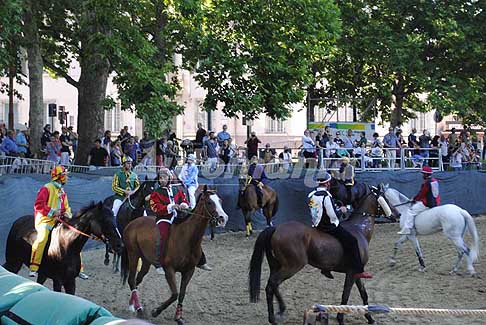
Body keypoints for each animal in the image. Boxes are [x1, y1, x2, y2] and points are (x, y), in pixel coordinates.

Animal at [120, 186, 229, 322]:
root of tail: (131, 224)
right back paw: (139, 308)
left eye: (220, 201)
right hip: (133, 255)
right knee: (131, 280)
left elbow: (181, 294)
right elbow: (175, 294)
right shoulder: (169, 269)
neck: (186, 237)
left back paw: (133, 305)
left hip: (145, 261)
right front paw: (156, 311)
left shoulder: (189, 270)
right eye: (209, 202)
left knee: (137, 280)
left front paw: (178, 316)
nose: (223, 218)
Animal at [251, 187, 398, 324]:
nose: (398, 214)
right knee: (272, 284)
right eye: (386, 198)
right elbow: (345, 295)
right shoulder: (351, 272)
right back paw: (276, 315)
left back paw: (277, 313)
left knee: (271, 286)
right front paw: (340, 318)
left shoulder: (356, 272)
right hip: (291, 267)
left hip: (276, 266)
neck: (359, 229)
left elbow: (364, 294)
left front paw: (370, 318)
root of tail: (276, 228)